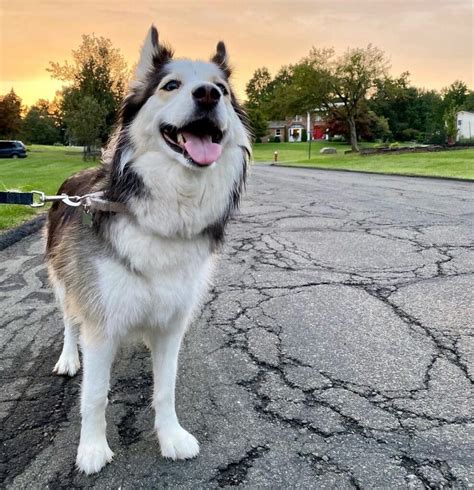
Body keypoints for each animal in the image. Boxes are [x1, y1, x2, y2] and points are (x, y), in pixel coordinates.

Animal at [46, 25, 252, 474]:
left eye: (224, 91)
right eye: (170, 85)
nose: (207, 95)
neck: (166, 210)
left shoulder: (173, 321)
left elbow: (165, 388)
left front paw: (171, 437)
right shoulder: (100, 322)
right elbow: (95, 395)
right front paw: (91, 449)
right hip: (63, 281)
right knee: (69, 321)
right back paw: (69, 358)